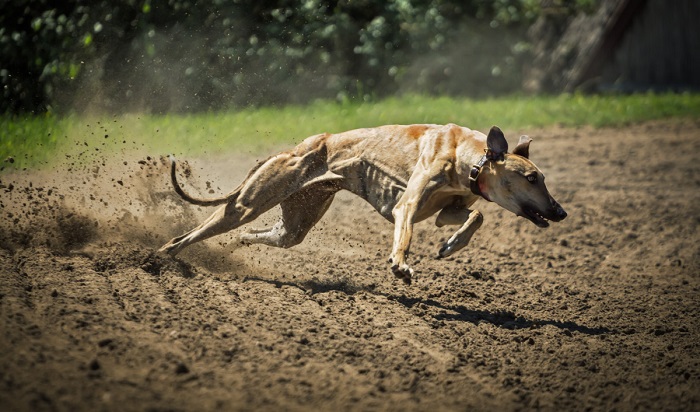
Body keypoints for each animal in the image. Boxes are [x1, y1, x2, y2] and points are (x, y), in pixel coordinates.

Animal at [159, 124, 564, 284]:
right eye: (532, 178)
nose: (560, 211)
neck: (470, 156)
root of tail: (295, 148)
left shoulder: (446, 210)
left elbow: (475, 214)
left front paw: (450, 246)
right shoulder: (407, 208)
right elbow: (404, 236)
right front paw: (400, 265)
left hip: (294, 223)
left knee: (262, 234)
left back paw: (231, 247)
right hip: (247, 204)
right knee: (185, 237)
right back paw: (161, 257)